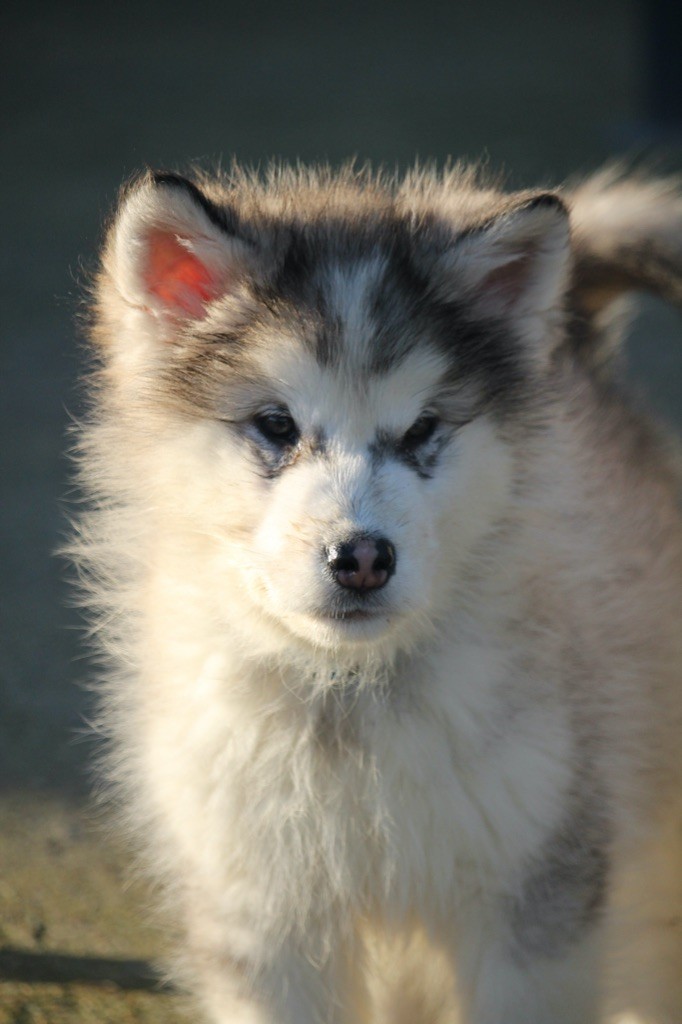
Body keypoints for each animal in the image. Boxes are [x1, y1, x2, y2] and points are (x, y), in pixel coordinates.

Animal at [73, 163, 679, 1019]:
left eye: (423, 429)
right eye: (276, 424)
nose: (360, 557)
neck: (350, 695)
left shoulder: (534, 894)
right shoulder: (261, 913)